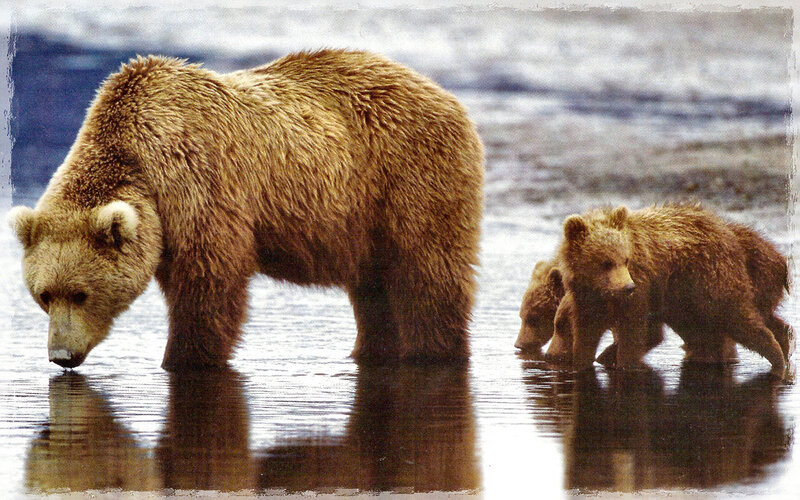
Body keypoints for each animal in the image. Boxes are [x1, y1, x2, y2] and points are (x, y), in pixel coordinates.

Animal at [8, 50, 484, 370]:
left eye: (80, 293)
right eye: (43, 295)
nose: (61, 356)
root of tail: (447, 96)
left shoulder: (199, 181)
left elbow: (209, 282)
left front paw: (184, 358)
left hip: (407, 179)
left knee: (428, 274)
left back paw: (434, 350)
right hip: (362, 222)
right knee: (373, 290)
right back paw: (368, 351)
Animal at [554, 204, 790, 378]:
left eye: (625, 259)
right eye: (605, 263)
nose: (628, 287)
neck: (601, 290)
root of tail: (726, 231)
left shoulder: (639, 290)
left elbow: (633, 333)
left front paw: (624, 365)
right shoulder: (587, 300)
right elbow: (586, 337)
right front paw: (582, 366)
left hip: (711, 282)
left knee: (738, 318)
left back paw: (778, 360)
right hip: (683, 300)